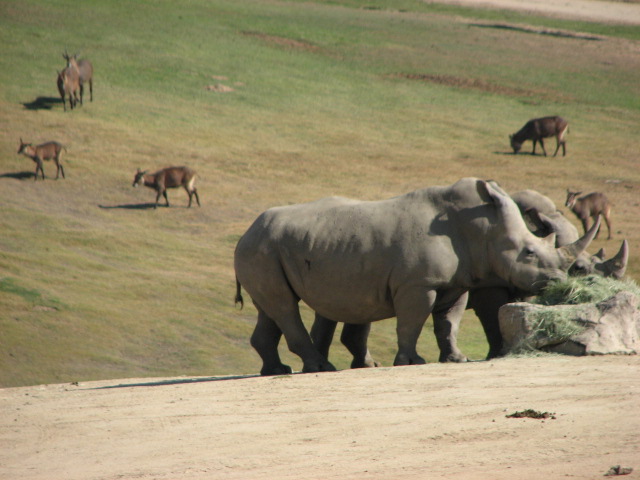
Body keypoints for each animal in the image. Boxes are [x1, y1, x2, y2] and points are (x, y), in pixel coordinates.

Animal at [234, 178, 598, 375]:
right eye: (529, 252)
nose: (558, 281)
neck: (479, 227)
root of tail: (245, 232)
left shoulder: (456, 282)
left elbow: (448, 324)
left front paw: (456, 359)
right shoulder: (418, 283)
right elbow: (412, 321)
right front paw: (412, 362)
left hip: (267, 248)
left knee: (271, 307)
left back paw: (277, 371)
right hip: (261, 248)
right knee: (284, 306)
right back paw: (319, 368)